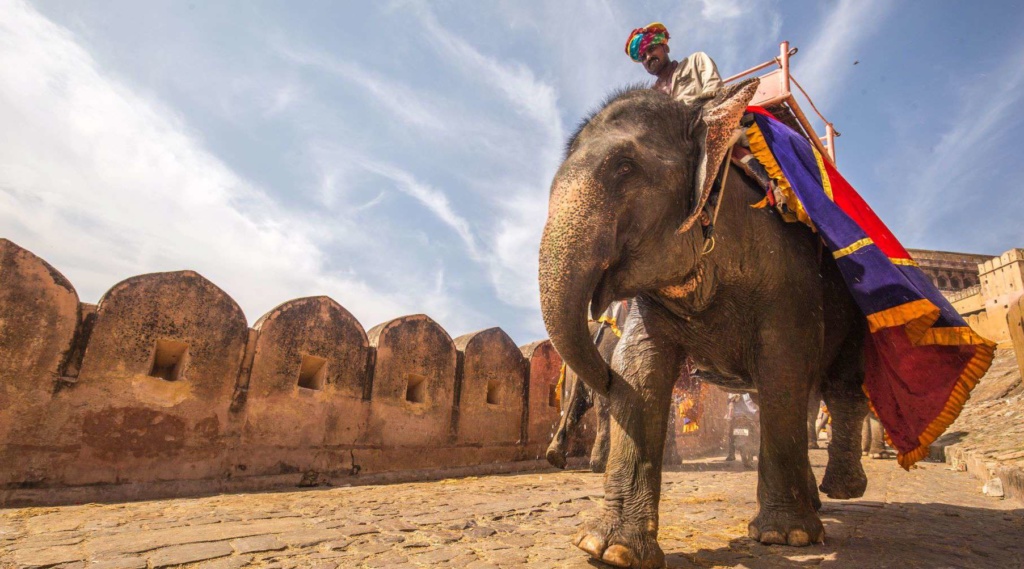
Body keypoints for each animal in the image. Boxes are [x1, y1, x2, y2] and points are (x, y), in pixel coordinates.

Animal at [538, 79, 870, 568]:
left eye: (624, 167)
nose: (602, 375)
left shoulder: (788, 273)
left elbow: (784, 367)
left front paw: (784, 537)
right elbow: (639, 369)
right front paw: (609, 549)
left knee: (839, 387)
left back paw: (841, 491)